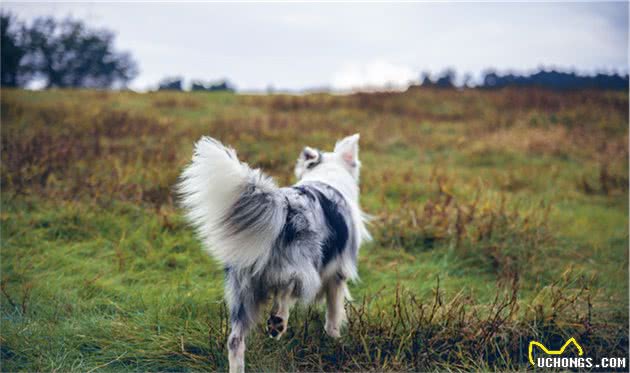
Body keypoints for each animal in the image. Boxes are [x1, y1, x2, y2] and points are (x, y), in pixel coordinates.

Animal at [178, 134, 370, 372]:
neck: (327, 172)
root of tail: (283, 206)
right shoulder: (337, 274)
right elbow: (334, 314)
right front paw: (335, 340)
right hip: (300, 267)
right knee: (286, 289)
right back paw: (278, 321)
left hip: (243, 292)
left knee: (234, 341)